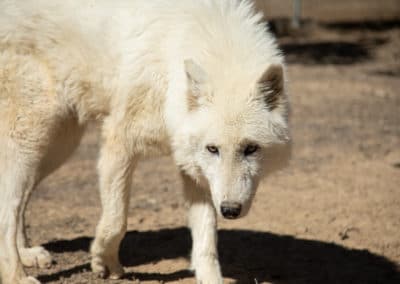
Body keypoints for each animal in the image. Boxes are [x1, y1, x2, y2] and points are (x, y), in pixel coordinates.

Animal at [0, 0, 288, 282]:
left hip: (56, 148)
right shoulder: (118, 141)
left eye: (250, 149)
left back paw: (27, 254)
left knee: (21, 201)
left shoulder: (193, 167)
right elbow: (116, 220)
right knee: (8, 208)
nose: (229, 210)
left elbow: (206, 240)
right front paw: (104, 261)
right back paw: (17, 276)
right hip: (31, 138)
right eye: (213, 149)